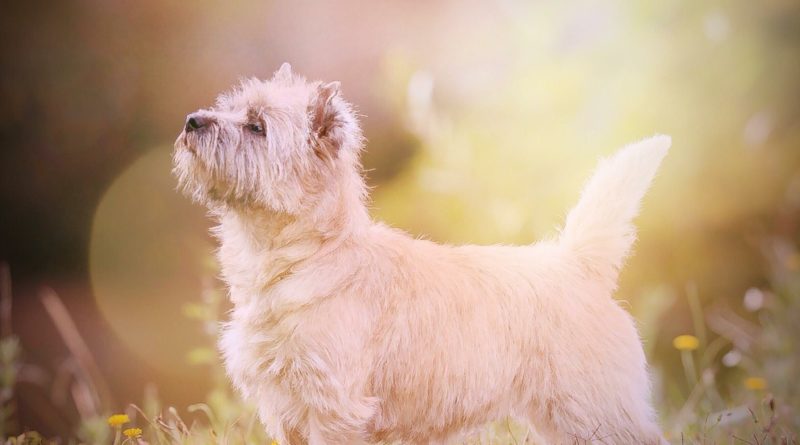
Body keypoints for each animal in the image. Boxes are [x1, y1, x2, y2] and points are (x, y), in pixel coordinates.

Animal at [173, 63, 668, 444]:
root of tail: (578, 262)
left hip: (595, 408)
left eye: (256, 126)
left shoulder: (334, 406)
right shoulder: (287, 408)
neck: (296, 259)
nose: (192, 120)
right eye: (230, 107)